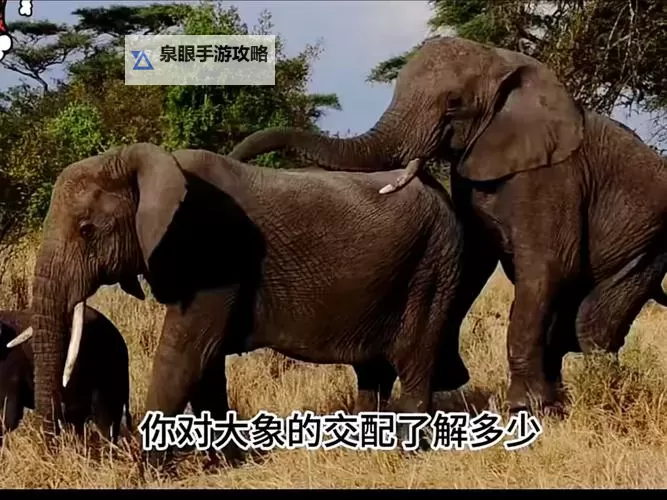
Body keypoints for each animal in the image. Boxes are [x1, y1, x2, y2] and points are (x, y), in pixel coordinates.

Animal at [26, 143, 492, 461]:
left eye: (86, 230)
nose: (58, 449)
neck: (151, 164)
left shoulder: (216, 254)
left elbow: (184, 354)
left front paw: (143, 470)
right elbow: (206, 364)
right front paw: (224, 464)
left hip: (433, 267)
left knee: (413, 360)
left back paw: (403, 454)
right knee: (373, 370)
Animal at [228, 35, 667, 413]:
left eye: (454, 103)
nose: (236, 158)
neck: (503, 63)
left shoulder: (552, 176)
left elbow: (546, 269)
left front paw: (521, 407)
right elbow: (471, 261)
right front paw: (448, 379)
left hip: (648, 242)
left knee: (591, 323)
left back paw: (593, 394)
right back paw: (562, 398)